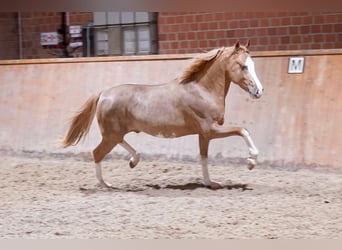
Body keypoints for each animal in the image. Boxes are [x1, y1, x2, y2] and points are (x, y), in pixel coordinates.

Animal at [62, 41, 264, 189]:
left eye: (253, 65)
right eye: (243, 66)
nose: (259, 91)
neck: (202, 90)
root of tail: (103, 93)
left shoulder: (204, 135)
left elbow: (204, 158)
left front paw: (211, 183)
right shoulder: (211, 129)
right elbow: (243, 130)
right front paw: (251, 162)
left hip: (115, 133)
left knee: (116, 146)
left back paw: (133, 161)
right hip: (111, 135)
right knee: (97, 153)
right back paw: (105, 184)